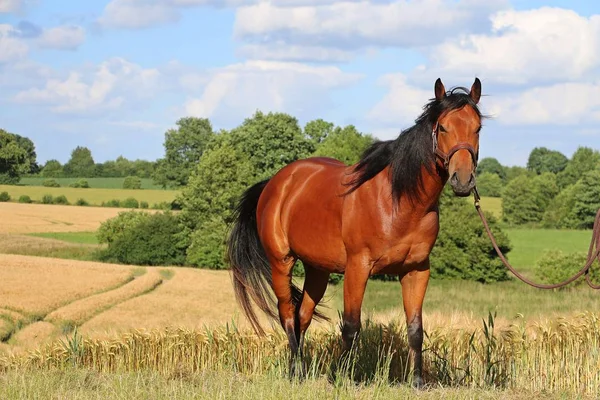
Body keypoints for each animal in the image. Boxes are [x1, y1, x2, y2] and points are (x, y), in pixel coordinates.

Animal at [225, 76, 482, 386]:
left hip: (318, 270)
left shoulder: (417, 270)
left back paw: (302, 369)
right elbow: (350, 325)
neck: (399, 202)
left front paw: (417, 382)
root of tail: (276, 182)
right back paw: (296, 372)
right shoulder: (358, 267)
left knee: (302, 316)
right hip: (281, 262)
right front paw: (342, 376)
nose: (463, 180)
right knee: (286, 313)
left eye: (478, 128)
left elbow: (415, 328)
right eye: (442, 127)